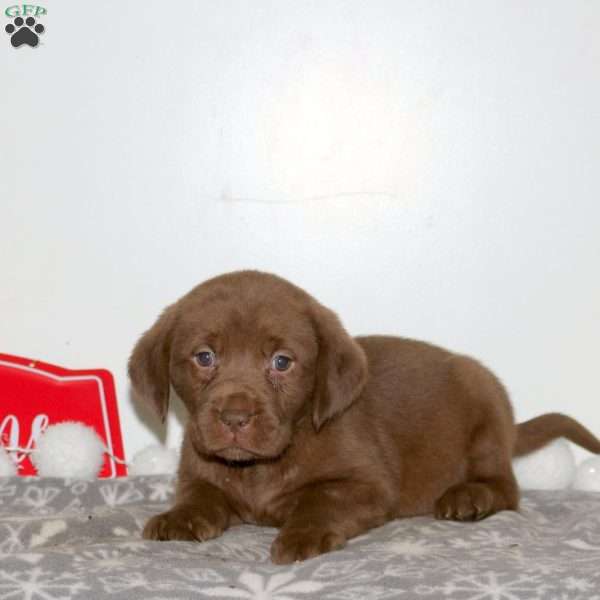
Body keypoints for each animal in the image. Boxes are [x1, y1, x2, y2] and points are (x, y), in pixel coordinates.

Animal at [130, 270, 600, 564]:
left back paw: (469, 497)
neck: (259, 469)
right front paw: (179, 518)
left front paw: (302, 534)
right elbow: (200, 496)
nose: (234, 417)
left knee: (507, 487)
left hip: (484, 416)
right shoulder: (198, 473)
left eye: (282, 362)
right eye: (204, 357)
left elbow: (321, 499)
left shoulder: (368, 485)